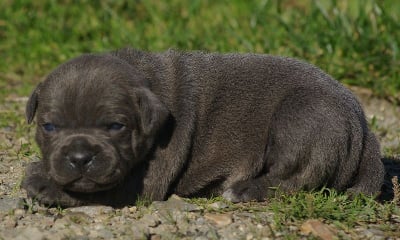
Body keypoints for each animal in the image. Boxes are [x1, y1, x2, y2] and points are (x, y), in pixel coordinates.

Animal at [21, 48, 384, 206]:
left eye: (115, 126)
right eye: (49, 127)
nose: (79, 157)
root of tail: (365, 130)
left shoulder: (146, 180)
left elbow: (103, 189)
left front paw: (44, 185)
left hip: (302, 117)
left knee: (296, 178)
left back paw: (245, 189)